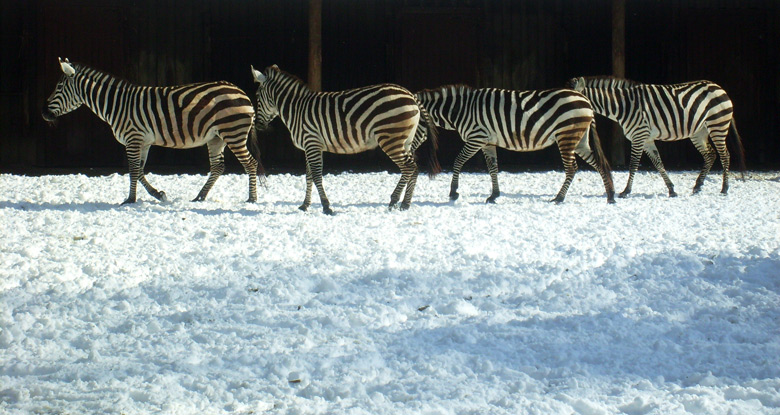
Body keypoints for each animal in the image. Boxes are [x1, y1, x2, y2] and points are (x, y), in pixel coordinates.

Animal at [42, 57, 262, 205]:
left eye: (59, 87)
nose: (44, 114)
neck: (118, 105)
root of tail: (241, 92)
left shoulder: (133, 138)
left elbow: (132, 170)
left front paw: (130, 200)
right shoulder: (144, 142)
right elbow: (139, 170)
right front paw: (158, 194)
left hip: (232, 132)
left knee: (250, 163)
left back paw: (251, 198)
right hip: (217, 137)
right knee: (218, 167)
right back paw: (200, 197)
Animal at [253, 66, 442, 214]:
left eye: (257, 96)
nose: (258, 125)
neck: (297, 109)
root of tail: (410, 94)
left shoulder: (312, 142)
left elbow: (316, 175)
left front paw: (326, 207)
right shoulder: (309, 146)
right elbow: (308, 176)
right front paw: (305, 205)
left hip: (390, 138)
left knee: (410, 167)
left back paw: (397, 201)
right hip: (406, 141)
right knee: (412, 168)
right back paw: (404, 203)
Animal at [414, 84, 616, 203]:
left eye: (413, 122)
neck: (461, 110)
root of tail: (586, 101)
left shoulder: (476, 138)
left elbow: (458, 161)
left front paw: (453, 192)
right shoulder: (487, 142)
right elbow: (493, 168)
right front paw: (494, 195)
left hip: (566, 135)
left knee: (572, 168)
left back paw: (559, 197)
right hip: (579, 139)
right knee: (598, 163)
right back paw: (611, 195)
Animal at [568, 77, 748, 198]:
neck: (623, 106)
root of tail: (719, 87)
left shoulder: (639, 136)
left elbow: (633, 165)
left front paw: (626, 191)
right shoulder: (647, 140)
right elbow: (658, 163)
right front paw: (671, 189)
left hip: (718, 124)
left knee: (725, 155)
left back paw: (724, 188)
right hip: (699, 131)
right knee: (710, 154)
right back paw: (698, 186)